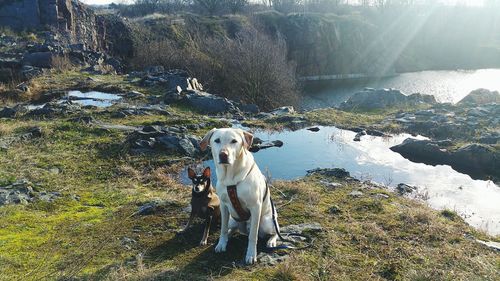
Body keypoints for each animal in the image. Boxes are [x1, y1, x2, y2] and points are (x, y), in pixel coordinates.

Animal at [199, 128, 278, 264]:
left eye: (234, 141)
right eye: (217, 140)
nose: (223, 155)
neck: (231, 178)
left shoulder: (255, 207)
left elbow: (253, 236)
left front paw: (251, 254)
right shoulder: (224, 206)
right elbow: (223, 229)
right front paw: (221, 244)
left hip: (266, 222)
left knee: (274, 232)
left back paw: (271, 240)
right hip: (233, 220)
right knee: (231, 229)